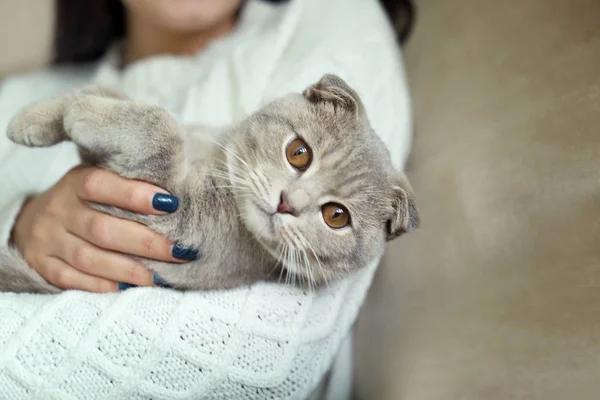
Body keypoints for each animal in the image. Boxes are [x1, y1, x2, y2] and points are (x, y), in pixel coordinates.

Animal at [0, 74, 420, 294]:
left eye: (336, 216)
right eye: (299, 152)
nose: (288, 202)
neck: (216, 164)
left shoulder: (170, 218)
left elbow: (162, 127)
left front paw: (80, 114)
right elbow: (111, 94)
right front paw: (34, 119)